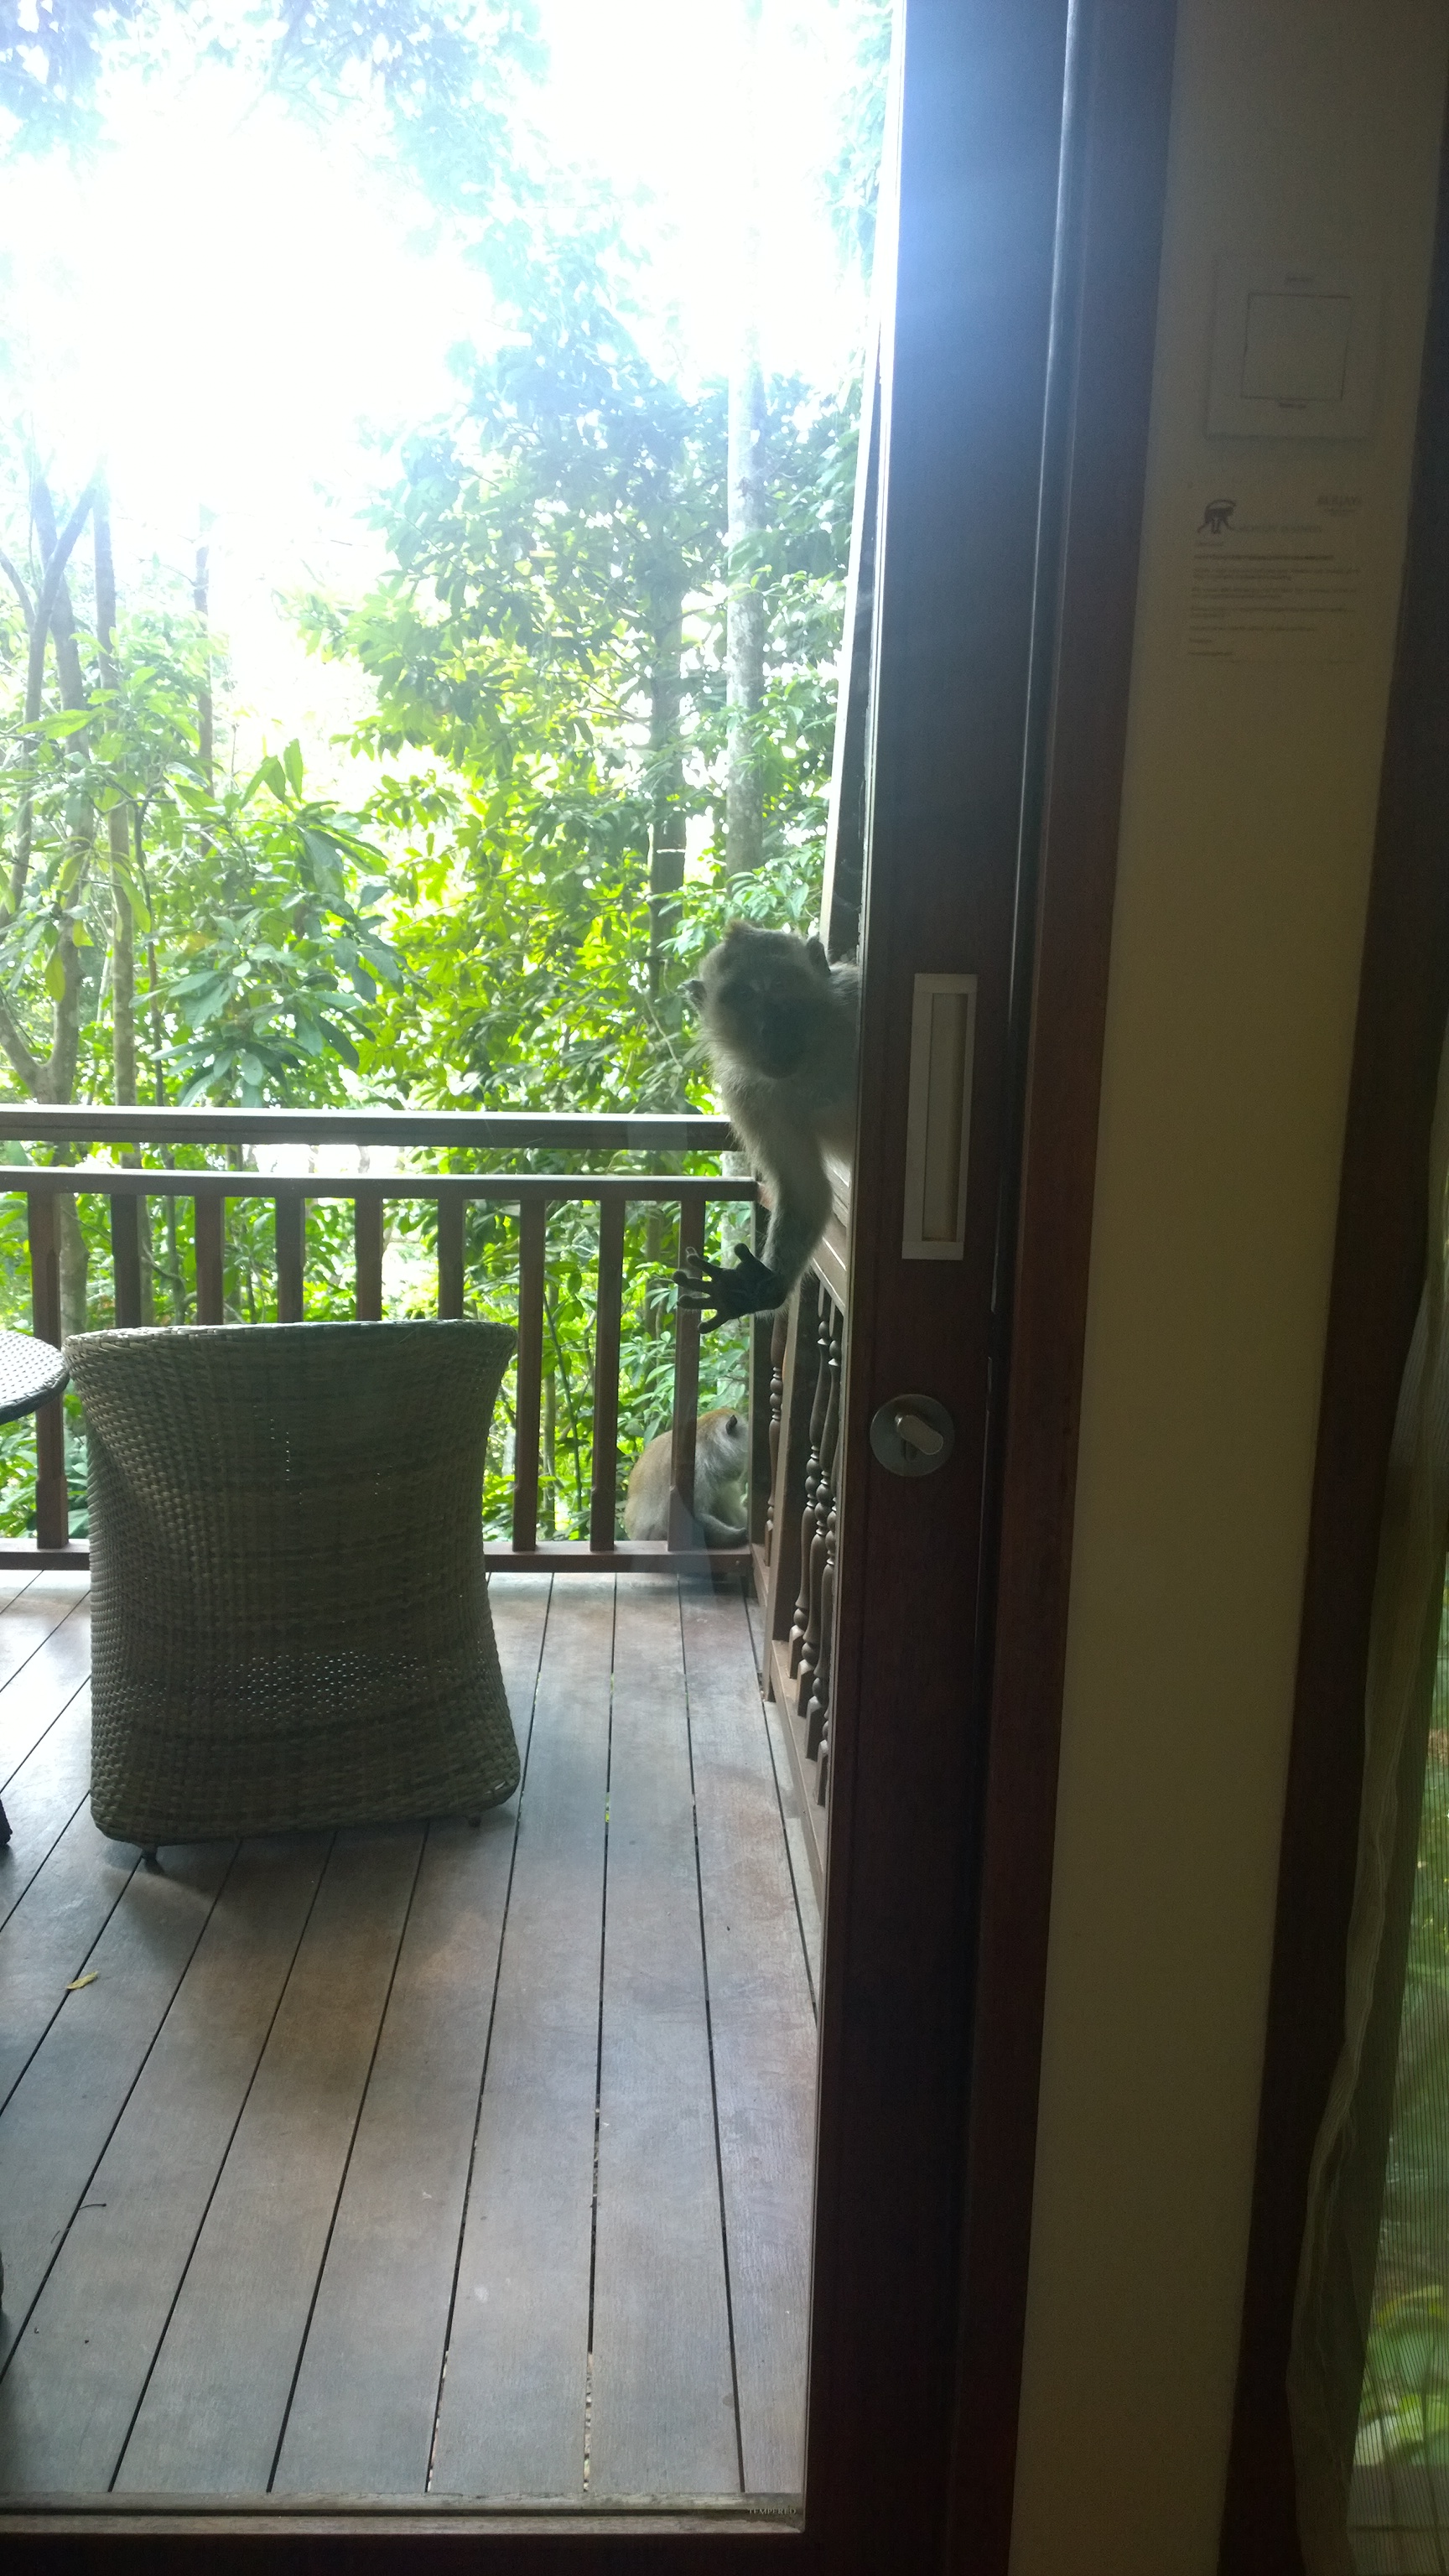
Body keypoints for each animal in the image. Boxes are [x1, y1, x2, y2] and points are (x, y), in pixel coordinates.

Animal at [670, 922, 850, 1329]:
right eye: (743, 996)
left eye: (782, 984)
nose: (773, 1027)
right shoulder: (748, 1097)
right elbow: (804, 1189)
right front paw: (751, 1288)